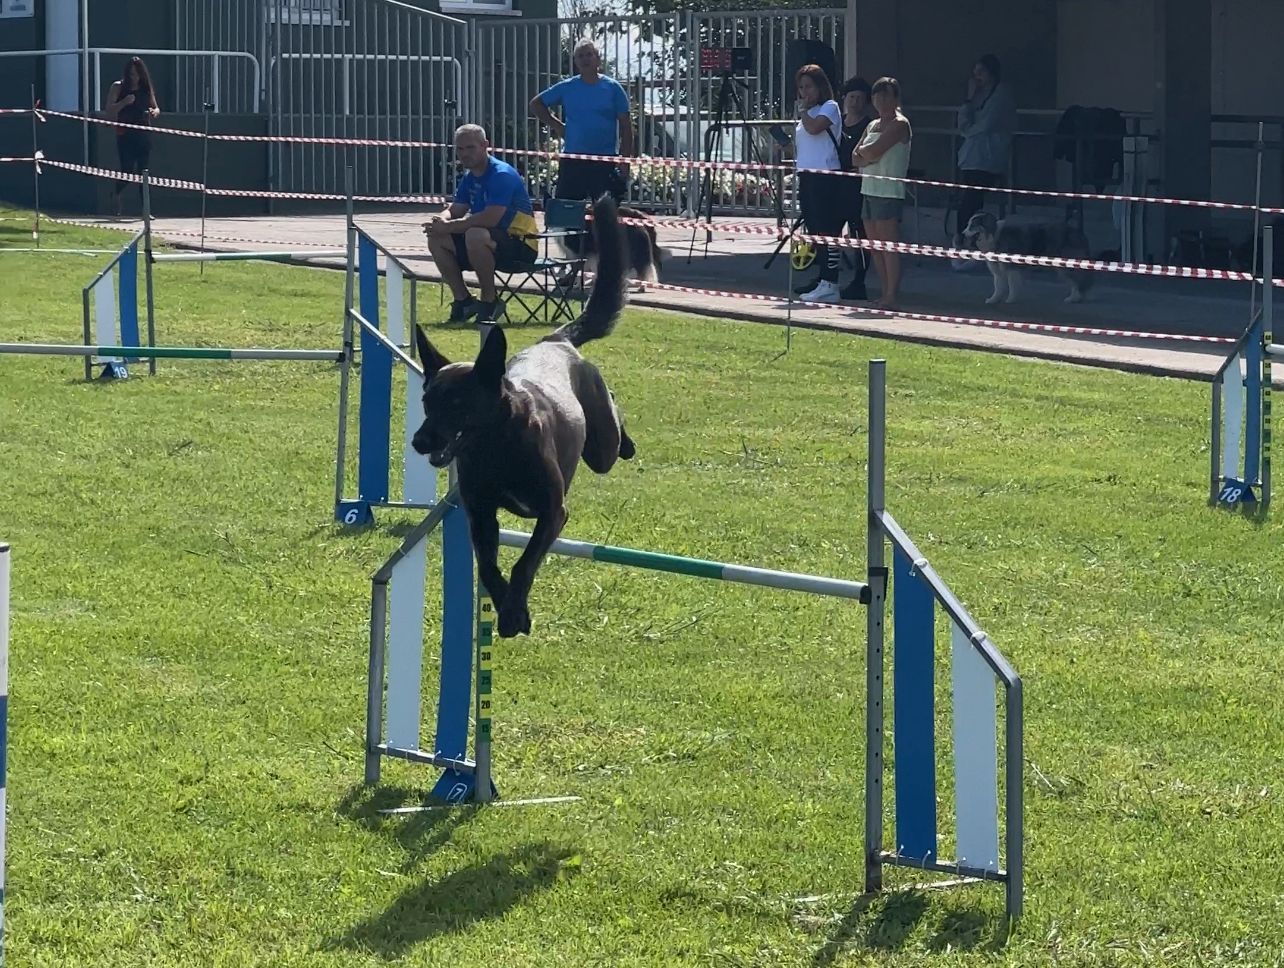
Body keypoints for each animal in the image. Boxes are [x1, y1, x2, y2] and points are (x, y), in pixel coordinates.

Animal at [965, 211, 1093, 302]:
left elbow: (1012, 285)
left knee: (1077, 281)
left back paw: (1074, 298)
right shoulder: (997, 269)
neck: (993, 235)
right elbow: (998, 286)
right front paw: (994, 299)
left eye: (972, 226)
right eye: (968, 225)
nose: (962, 233)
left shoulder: (1011, 268)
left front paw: (1010, 299)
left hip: (1066, 264)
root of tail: (1078, 232)